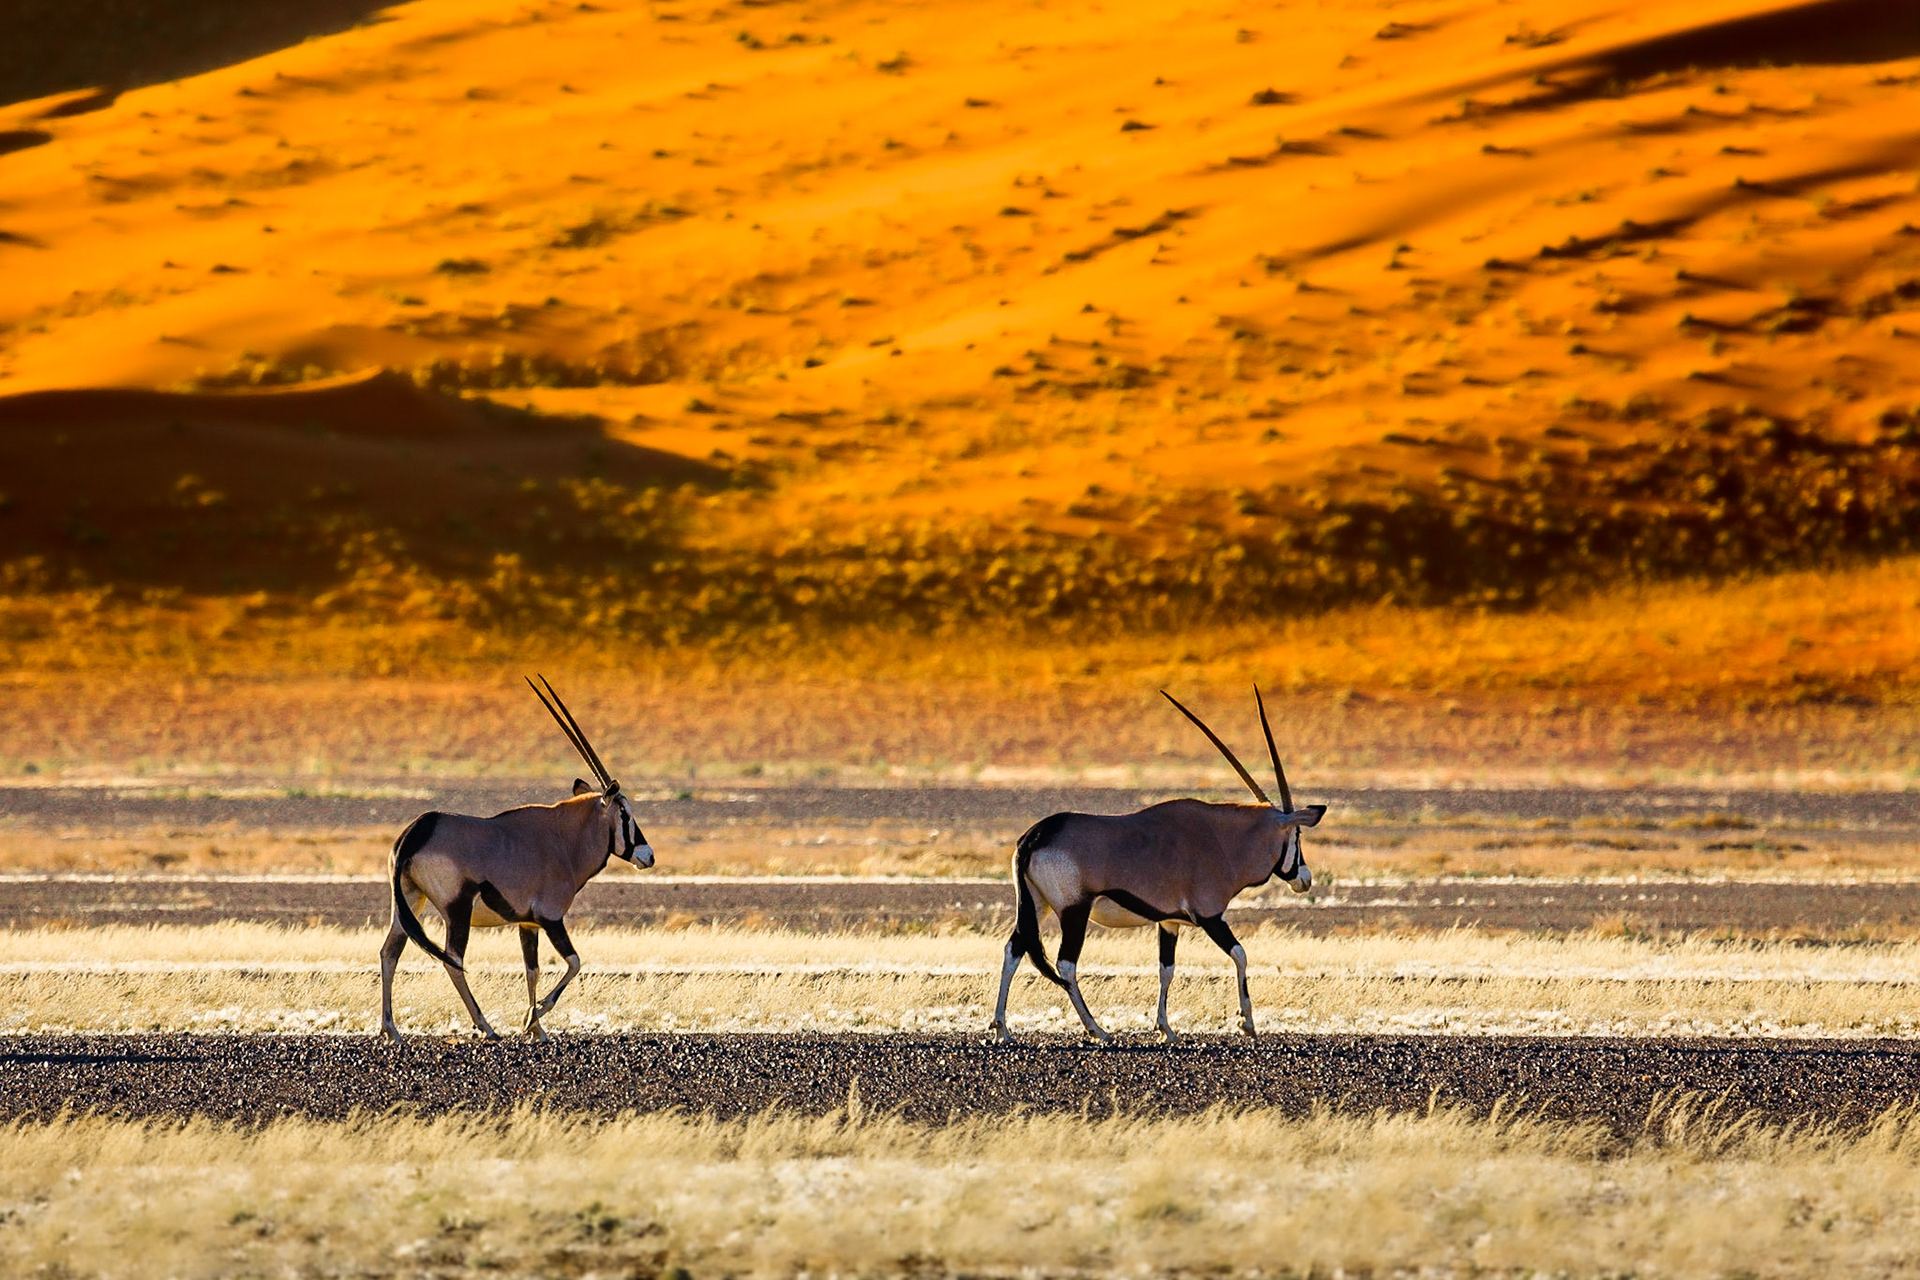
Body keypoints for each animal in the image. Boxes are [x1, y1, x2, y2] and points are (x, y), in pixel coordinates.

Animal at [378, 676, 654, 1041]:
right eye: (625, 813)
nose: (648, 855)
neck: (564, 840)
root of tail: (418, 830)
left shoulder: (528, 923)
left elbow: (531, 970)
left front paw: (537, 1029)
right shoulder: (550, 917)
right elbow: (575, 962)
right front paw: (533, 1018)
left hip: (409, 900)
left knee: (390, 952)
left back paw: (390, 1028)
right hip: (457, 909)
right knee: (453, 960)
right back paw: (486, 1027)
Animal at [988, 688, 1326, 1044]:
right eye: (1298, 835)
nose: (1304, 879)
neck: (1223, 840)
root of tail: (1035, 836)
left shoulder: (1169, 922)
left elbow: (1167, 969)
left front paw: (1166, 1028)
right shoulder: (1210, 916)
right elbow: (1240, 954)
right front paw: (1246, 1022)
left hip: (1037, 905)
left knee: (1013, 949)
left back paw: (1002, 1028)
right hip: (1074, 910)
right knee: (1065, 964)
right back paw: (1097, 1029)